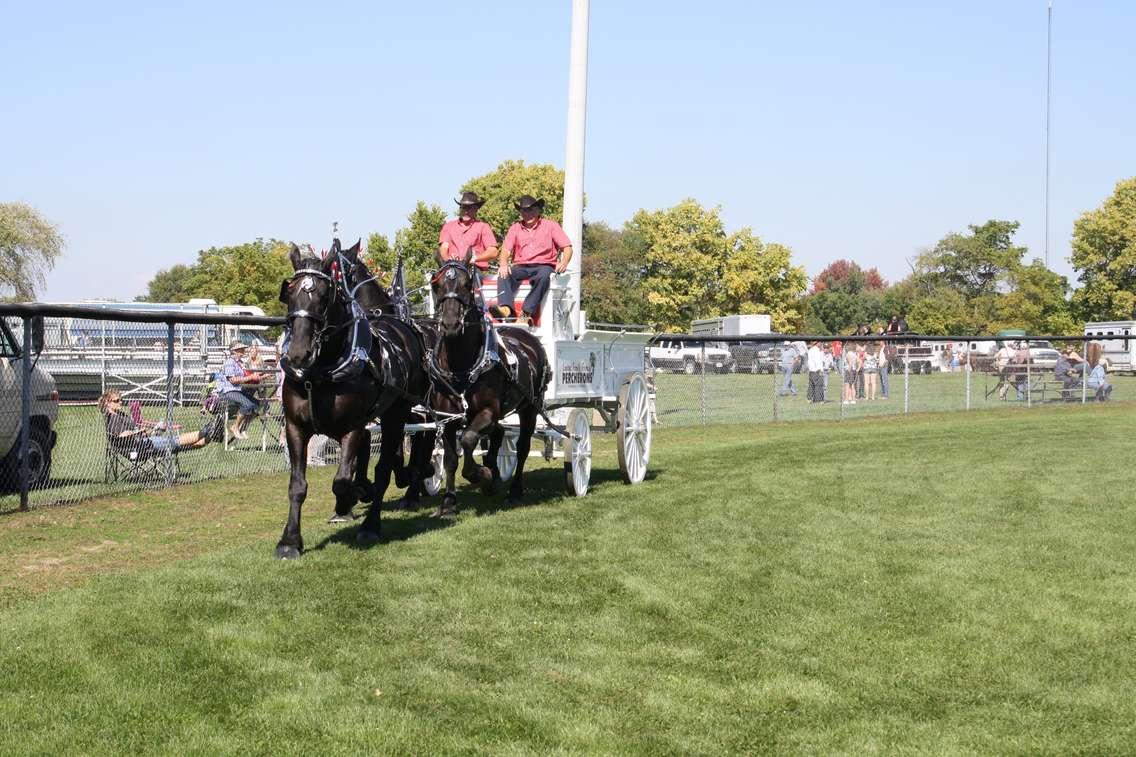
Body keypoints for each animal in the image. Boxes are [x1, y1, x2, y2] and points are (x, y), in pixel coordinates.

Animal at [279, 242, 429, 554]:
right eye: (289, 291)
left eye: (326, 294)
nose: (298, 353)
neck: (321, 370)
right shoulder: (296, 427)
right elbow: (297, 486)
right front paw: (290, 541)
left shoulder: (353, 427)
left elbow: (342, 480)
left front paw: (353, 497)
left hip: (399, 411)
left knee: (392, 462)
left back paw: (374, 521)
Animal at [427, 253, 549, 513]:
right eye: (436, 284)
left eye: (467, 285)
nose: (450, 324)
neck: (461, 366)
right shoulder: (447, 418)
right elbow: (450, 459)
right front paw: (449, 501)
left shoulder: (487, 411)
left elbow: (468, 439)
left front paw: (479, 473)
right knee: (499, 432)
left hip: (529, 408)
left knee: (522, 447)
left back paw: (514, 490)